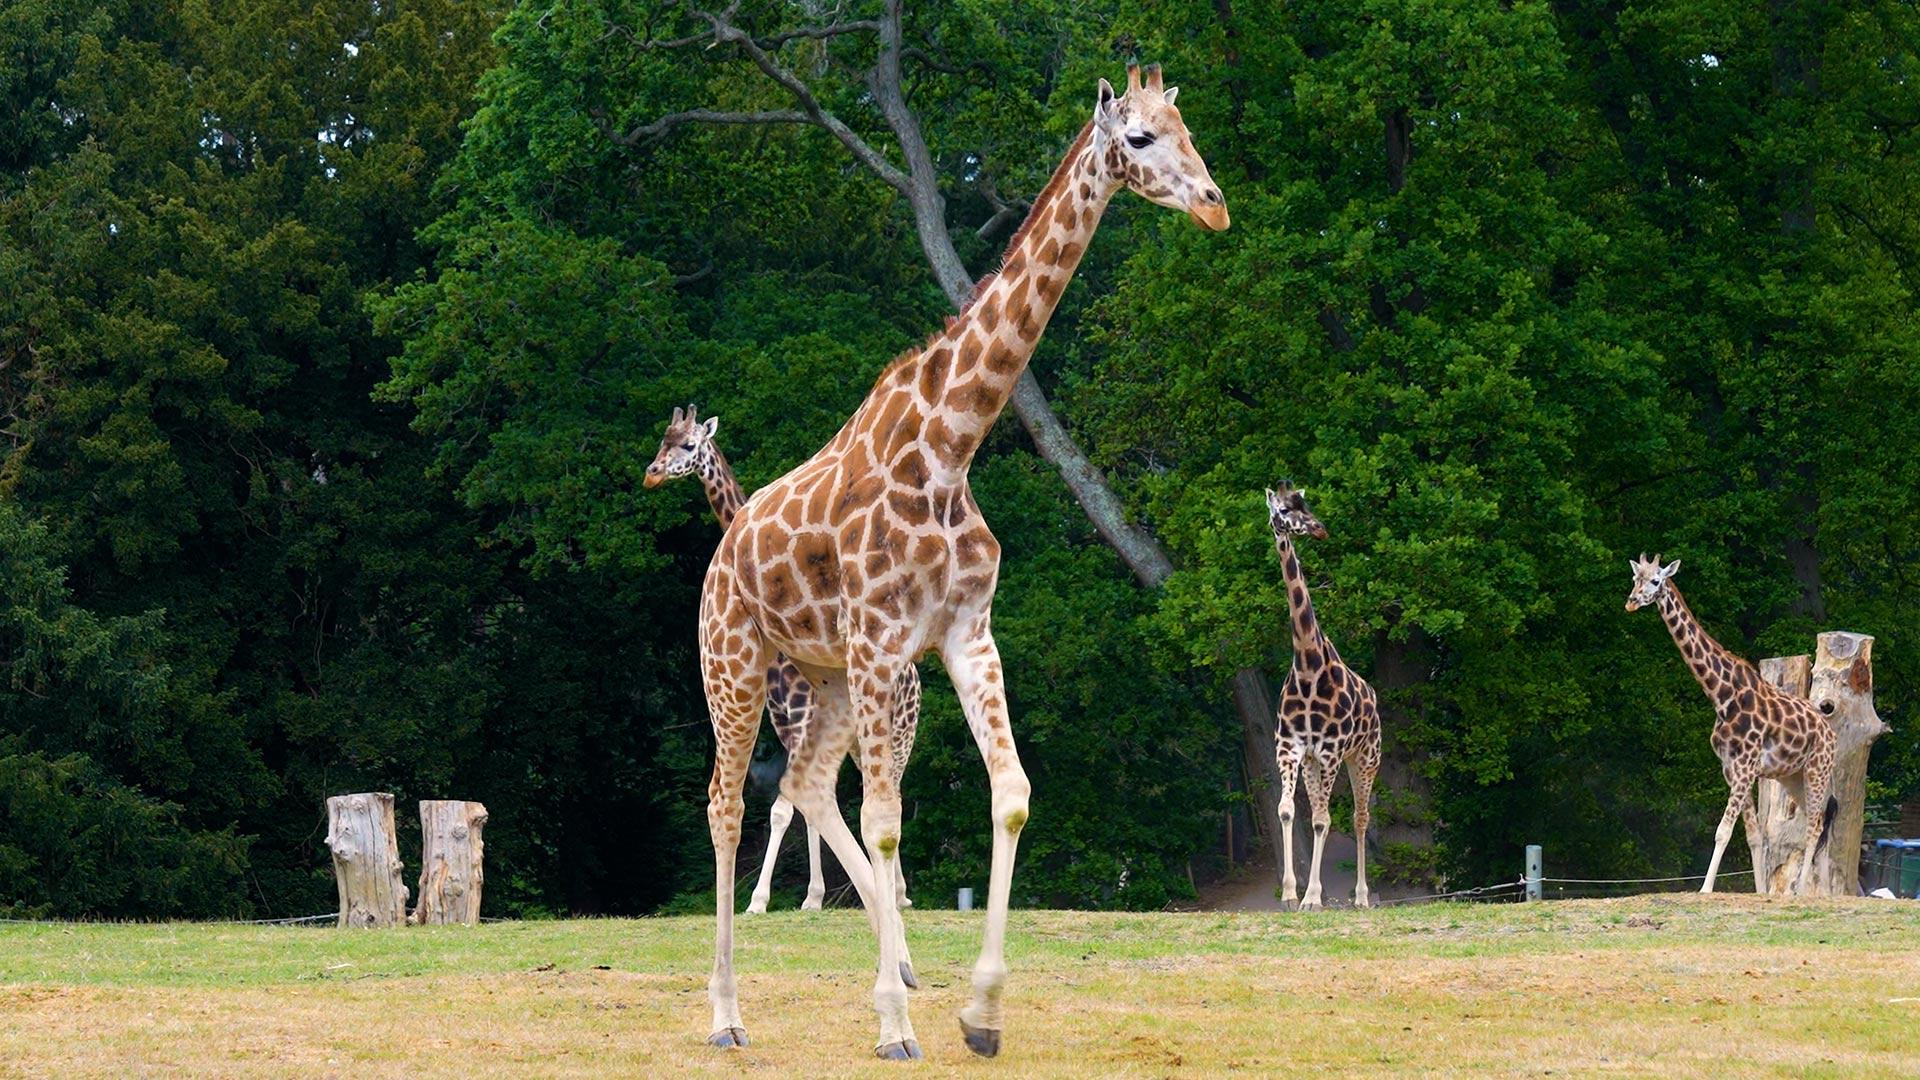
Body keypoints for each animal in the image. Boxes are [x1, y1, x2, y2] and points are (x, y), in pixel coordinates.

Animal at [643, 405, 919, 914]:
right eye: (662, 440)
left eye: (688, 445)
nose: (652, 474)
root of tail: (912, 674)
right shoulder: (788, 724)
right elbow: (797, 806)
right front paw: (810, 896)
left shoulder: (803, 717)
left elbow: (782, 808)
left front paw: (759, 899)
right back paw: (892, 890)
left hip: (900, 728)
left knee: (894, 787)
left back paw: (901, 893)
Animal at [693, 63, 1227, 1060]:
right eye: (1138, 138)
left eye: (1188, 129)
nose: (1214, 206)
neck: (949, 447)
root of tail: (719, 554)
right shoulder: (882, 641)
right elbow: (888, 820)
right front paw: (895, 1026)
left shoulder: (964, 634)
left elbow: (1009, 793)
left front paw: (979, 1013)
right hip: (736, 664)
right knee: (727, 803)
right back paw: (727, 1013)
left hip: (824, 674)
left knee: (806, 784)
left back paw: (891, 970)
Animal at [1264, 485, 1382, 912]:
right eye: (1283, 510)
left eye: (1306, 504)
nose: (1319, 529)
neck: (1308, 667)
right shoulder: (1291, 748)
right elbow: (1287, 810)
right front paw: (1288, 893)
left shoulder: (1332, 751)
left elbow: (1321, 819)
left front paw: (1312, 898)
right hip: (1315, 764)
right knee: (1324, 809)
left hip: (1365, 756)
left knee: (1360, 818)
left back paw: (1362, 897)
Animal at [1624, 554, 1839, 894]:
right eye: (1635, 579)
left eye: (1656, 580)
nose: (1631, 602)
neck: (1720, 695)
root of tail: (1830, 731)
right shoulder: (1731, 768)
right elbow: (1753, 835)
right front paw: (1761, 892)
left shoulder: (1747, 766)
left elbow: (1723, 830)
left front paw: (1705, 889)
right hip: (1792, 776)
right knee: (1817, 823)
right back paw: (1820, 893)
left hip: (1817, 769)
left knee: (1815, 826)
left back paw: (1804, 890)